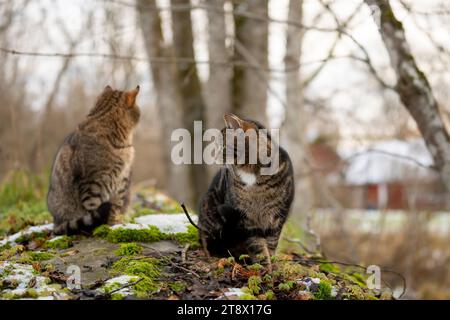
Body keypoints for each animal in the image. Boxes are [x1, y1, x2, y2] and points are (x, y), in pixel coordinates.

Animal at [46, 85, 140, 235]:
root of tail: (56, 224)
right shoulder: (92, 183)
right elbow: (93, 208)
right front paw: (100, 227)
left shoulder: (121, 182)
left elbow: (115, 208)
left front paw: (114, 224)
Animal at [198, 114, 296, 268]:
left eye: (222, 146)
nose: (214, 156)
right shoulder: (245, 219)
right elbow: (257, 246)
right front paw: (263, 267)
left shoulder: (278, 216)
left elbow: (271, 244)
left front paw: (272, 265)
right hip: (210, 210)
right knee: (208, 241)